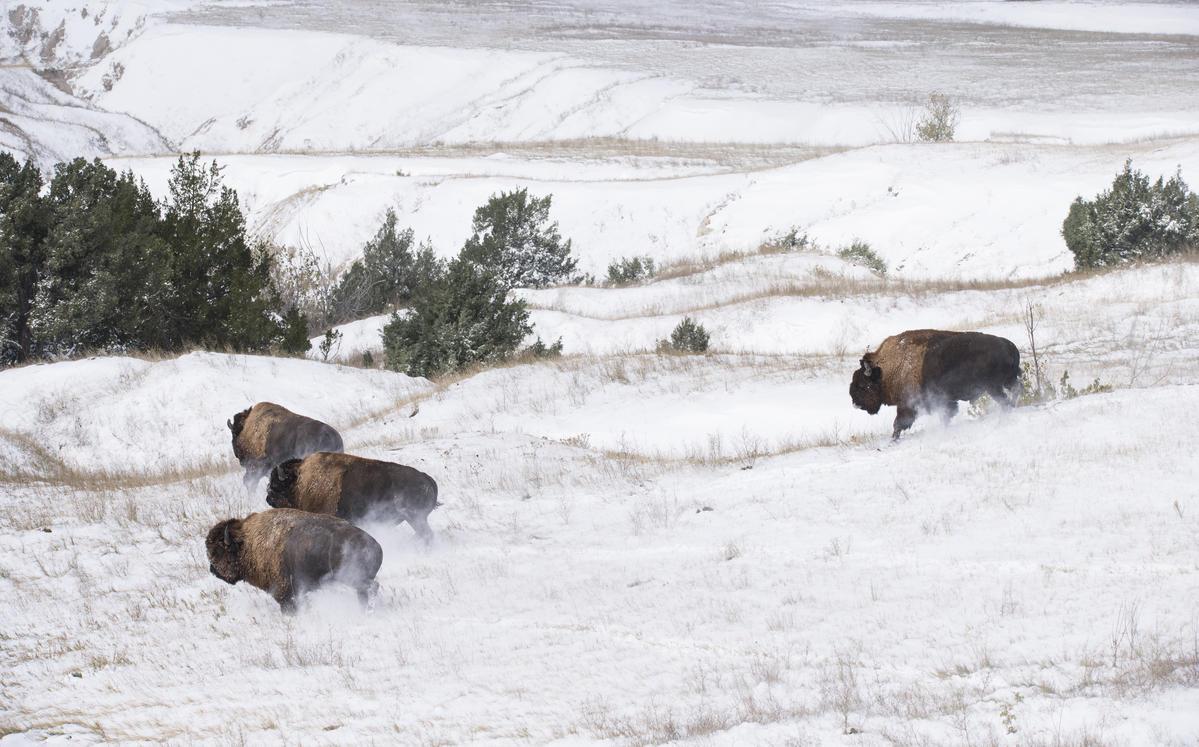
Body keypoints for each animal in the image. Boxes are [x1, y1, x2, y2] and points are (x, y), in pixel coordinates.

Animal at [206, 508, 381, 613]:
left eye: (218, 551)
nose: (212, 570)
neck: (248, 544)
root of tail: (375, 546)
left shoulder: (283, 592)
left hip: (351, 577)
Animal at [853, 330, 1021, 441]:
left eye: (862, 384)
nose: (855, 403)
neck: (887, 369)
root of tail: (1009, 346)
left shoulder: (908, 404)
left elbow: (899, 423)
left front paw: (893, 439)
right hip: (1006, 382)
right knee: (1015, 391)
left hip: (993, 387)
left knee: (1005, 400)